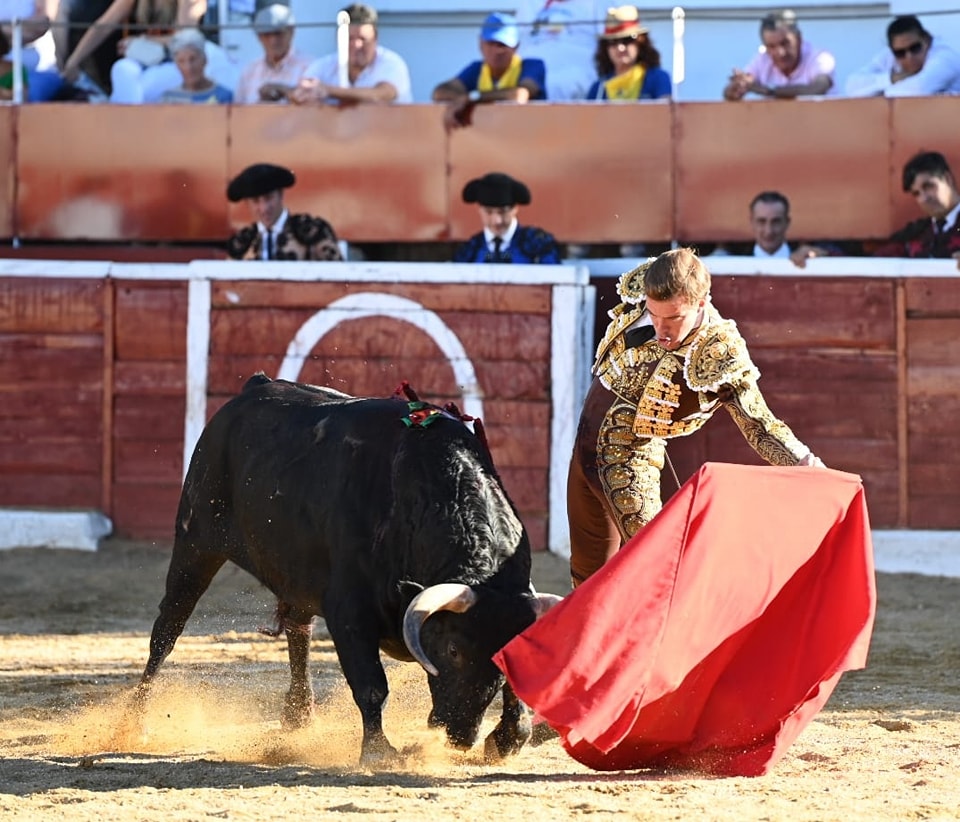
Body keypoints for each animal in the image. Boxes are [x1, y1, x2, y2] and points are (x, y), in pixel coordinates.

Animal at [131, 378, 560, 768]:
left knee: (298, 631)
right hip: (196, 543)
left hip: (295, 574)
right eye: (453, 649)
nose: (460, 735)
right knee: (167, 629)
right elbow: (371, 684)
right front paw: (379, 752)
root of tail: (252, 388)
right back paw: (136, 721)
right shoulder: (349, 612)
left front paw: (508, 738)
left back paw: (299, 717)